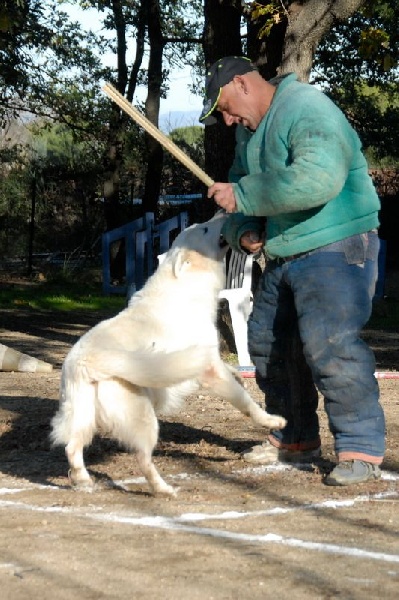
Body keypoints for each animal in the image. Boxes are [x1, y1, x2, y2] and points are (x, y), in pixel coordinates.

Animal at [50, 212, 288, 496]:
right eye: (205, 229)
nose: (222, 212)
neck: (186, 285)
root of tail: (86, 362)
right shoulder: (210, 369)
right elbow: (247, 402)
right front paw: (272, 420)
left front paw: (241, 376)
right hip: (144, 419)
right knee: (143, 459)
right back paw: (164, 489)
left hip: (82, 418)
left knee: (72, 448)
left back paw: (83, 481)